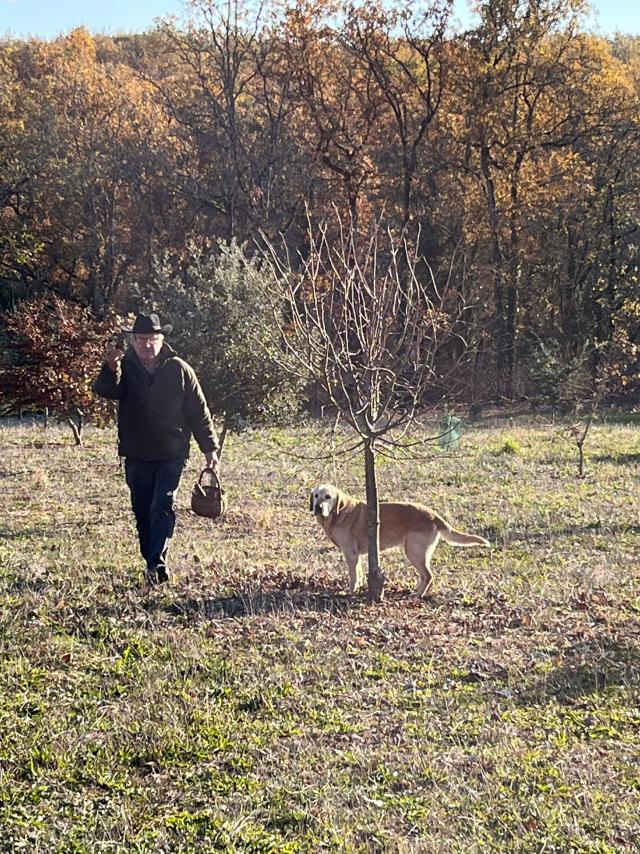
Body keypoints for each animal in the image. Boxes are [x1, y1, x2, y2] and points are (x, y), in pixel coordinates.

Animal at [310, 484, 490, 600]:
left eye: (328, 497)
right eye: (316, 495)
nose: (318, 506)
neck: (338, 514)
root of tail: (433, 515)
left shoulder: (351, 553)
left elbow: (353, 576)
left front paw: (351, 591)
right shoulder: (357, 556)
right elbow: (359, 574)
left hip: (413, 551)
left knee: (428, 575)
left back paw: (418, 595)